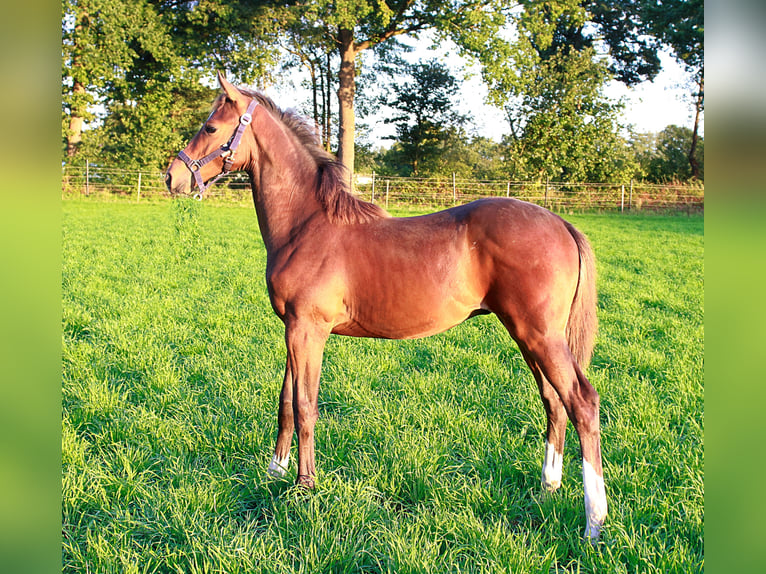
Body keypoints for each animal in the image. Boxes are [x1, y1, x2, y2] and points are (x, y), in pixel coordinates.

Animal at [165, 72, 608, 540]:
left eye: (211, 127)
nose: (172, 176)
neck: (307, 225)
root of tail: (562, 223)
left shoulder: (308, 329)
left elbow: (305, 405)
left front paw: (305, 487)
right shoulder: (292, 328)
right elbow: (285, 401)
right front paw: (275, 472)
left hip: (540, 336)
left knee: (582, 402)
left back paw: (593, 522)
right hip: (528, 337)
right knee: (553, 401)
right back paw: (547, 489)